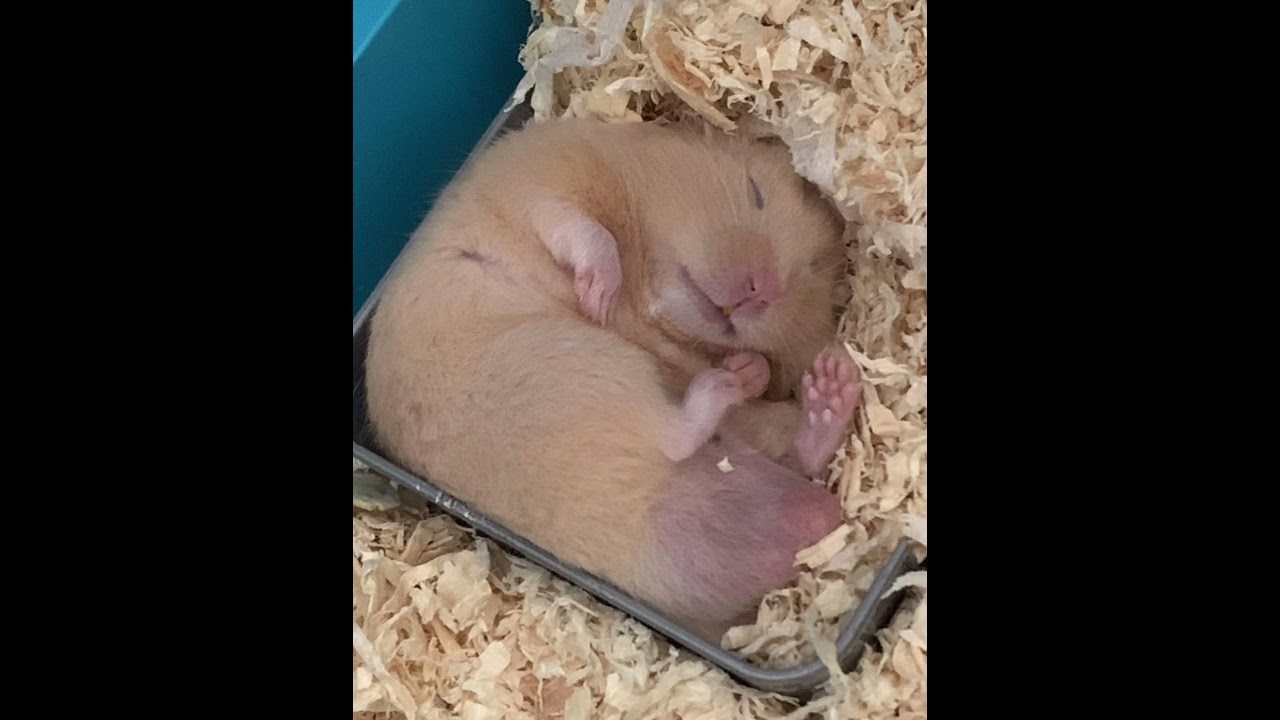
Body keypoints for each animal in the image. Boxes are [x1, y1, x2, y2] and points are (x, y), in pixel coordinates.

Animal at [365, 118, 863, 640]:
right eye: (754, 192)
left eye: (812, 267)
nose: (760, 292)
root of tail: (641, 510)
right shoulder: (537, 186)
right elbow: (586, 231)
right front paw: (599, 295)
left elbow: (754, 368)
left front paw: (747, 366)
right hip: (580, 364)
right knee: (677, 435)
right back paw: (726, 385)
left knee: (783, 454)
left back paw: (827, 386)